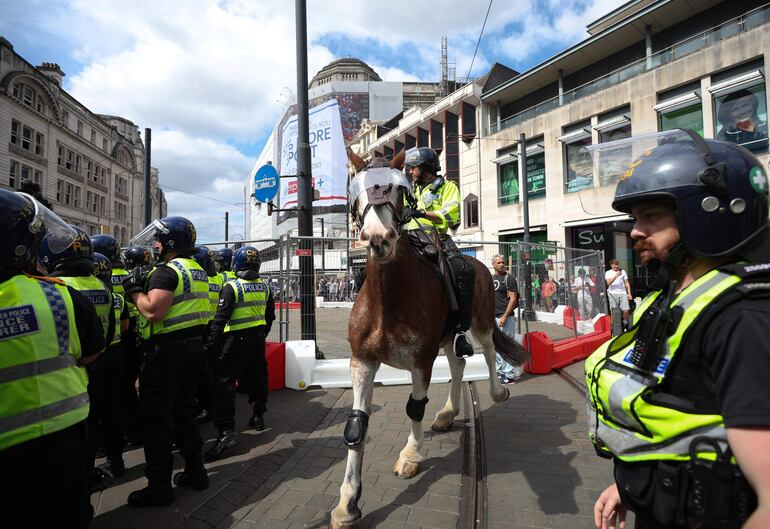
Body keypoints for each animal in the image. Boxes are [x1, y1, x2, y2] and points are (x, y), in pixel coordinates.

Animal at [330, 151, 528, 524]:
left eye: (397, 187)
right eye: (356, 187)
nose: (378, 237)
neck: (388, 300)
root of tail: (483, 265)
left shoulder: (420, 361)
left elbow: (414, 408)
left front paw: (411, 455)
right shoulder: (361, 362)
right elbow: (356, 425)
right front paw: (347, 502)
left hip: (480, 321)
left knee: (489, 351)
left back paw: (497, 391)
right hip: (449, 337)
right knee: (459, 365)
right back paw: (448, 413)